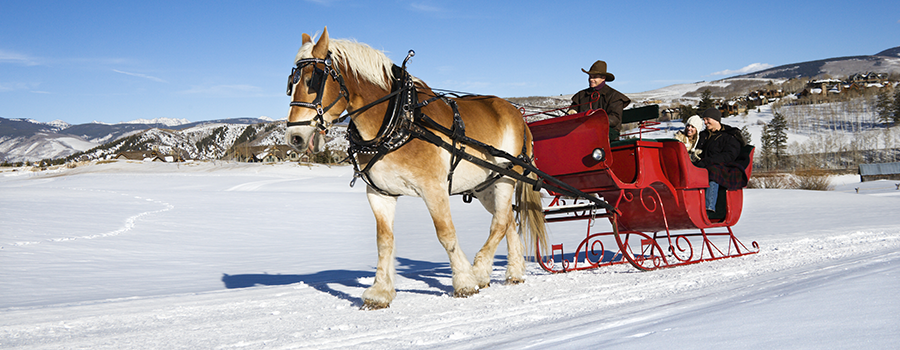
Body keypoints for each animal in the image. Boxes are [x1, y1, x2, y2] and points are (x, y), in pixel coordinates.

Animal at [284, 28, 544, 312]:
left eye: (312, 80)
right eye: (290, 84)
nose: (294, 137)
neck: (399, 119)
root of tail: (517, 114)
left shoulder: (433, 188)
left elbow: (446, 233)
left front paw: (464, 282)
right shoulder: (380, 193)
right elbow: (384, 241)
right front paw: (380, 293)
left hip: (506, 177)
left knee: (499, 222)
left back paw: (480, 270)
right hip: (485, 186)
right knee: (507, 219)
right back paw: (514, 272)